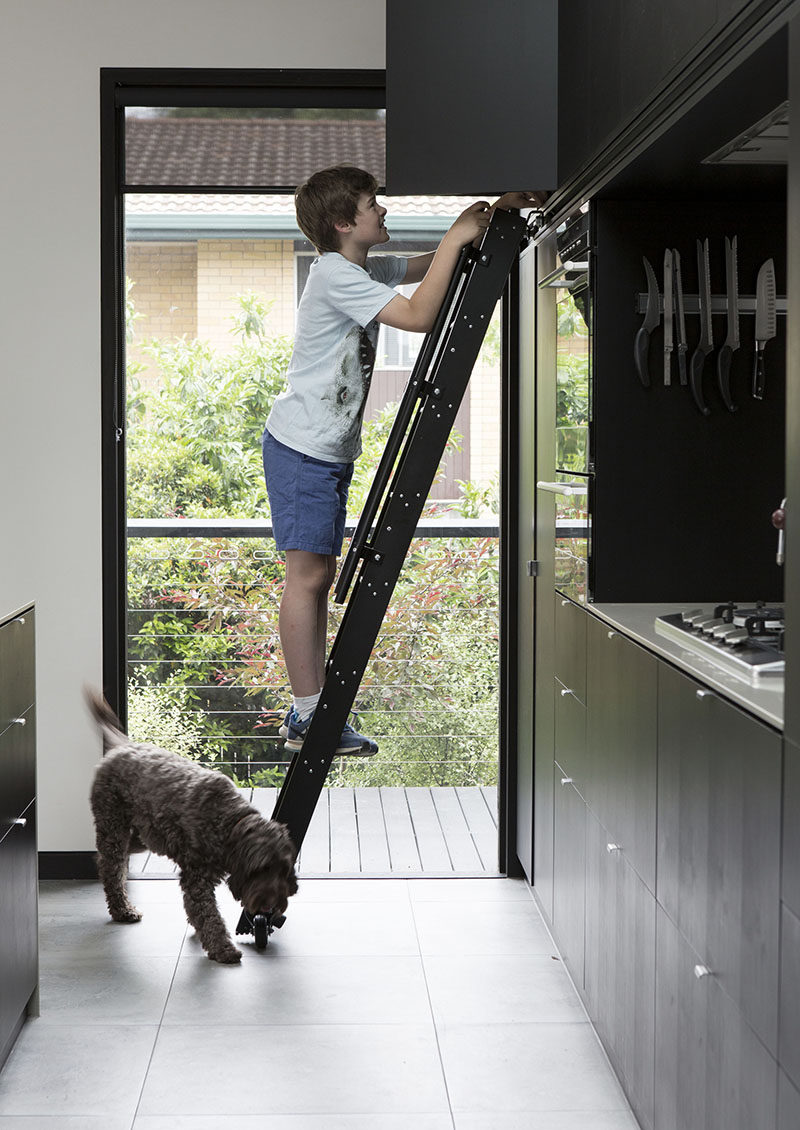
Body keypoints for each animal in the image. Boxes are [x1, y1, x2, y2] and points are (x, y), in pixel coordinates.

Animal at [87, 687, 298, 962]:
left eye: (283, 869)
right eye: (260, 869)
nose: (271, 906)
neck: (228, 821)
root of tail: (123, 745)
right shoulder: (197, 879)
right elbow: (209, 916)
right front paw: (222, 948)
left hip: (140, 837)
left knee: (114, 860)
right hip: (114, 827)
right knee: (110, 867)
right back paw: (121, 909)